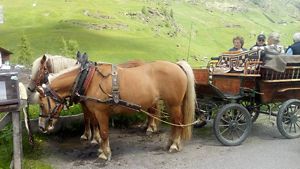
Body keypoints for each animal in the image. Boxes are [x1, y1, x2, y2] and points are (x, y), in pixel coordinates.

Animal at [37, 59, 195, 160]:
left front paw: (104, 154)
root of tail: (176, 65)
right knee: (174, 125)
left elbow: (104, 133)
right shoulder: (94, 112)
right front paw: (100, 147)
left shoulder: (101, 112)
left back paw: (174, 145)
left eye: (42, 104)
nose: (41, 127)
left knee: (178, 124)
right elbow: (98, 129)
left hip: (174, 105)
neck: (89, 79)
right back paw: (170, 143)